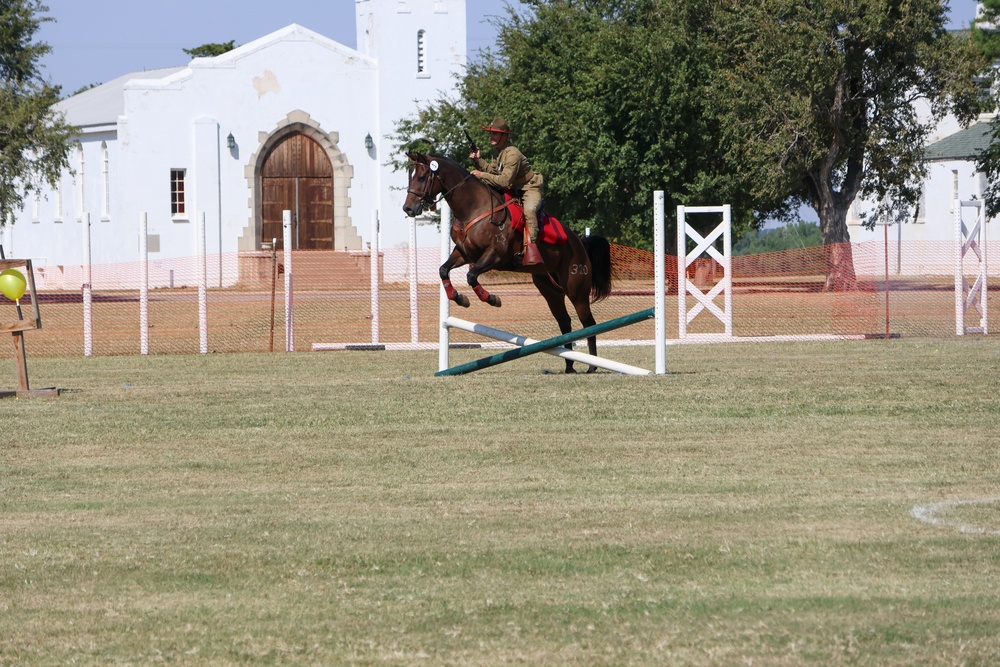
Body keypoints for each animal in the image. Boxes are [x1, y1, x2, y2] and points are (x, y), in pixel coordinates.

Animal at [402, 153, 612, 376]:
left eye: (422, 177)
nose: (408, 208)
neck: (474, 207)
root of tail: (580, 242)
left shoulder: (496, 255)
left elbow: (471, 276)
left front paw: (492, 299)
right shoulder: (464, 254)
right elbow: (443, 270)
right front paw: (459, 298)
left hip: (576, 289)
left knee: (589, 324)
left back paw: (592, 366)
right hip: (550, 289)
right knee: (565, 322)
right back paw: (570, 366)